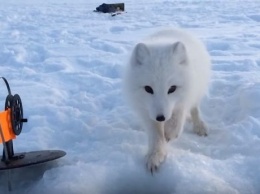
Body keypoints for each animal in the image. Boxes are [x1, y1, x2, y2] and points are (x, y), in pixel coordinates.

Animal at [123, 28, 210, 174]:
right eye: (148, 89)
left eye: (172, 88)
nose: (161, 117)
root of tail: (172, 28)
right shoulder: (146, 111)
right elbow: (156, 136)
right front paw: (155, 156)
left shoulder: (182, 101)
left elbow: (176, 119)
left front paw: (170, 132)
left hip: (197, 90)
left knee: (195, 109)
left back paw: (199, 126)